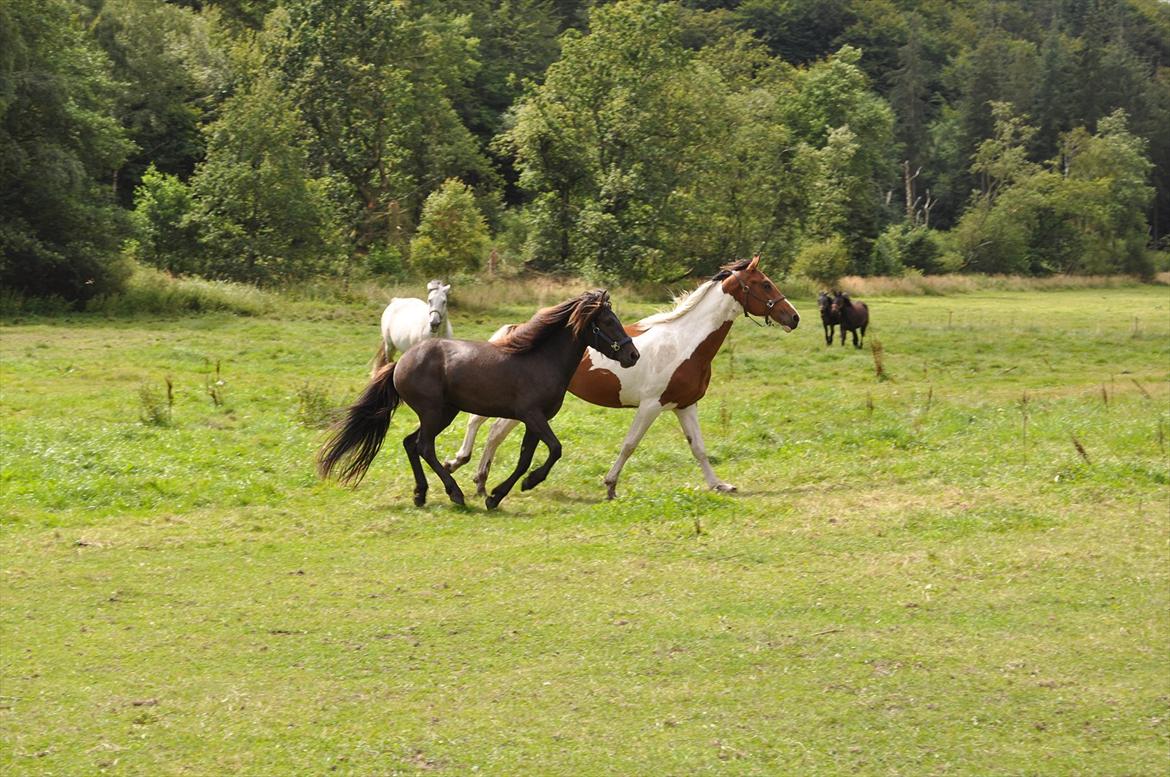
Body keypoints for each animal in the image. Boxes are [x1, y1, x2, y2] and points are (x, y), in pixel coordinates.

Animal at [318, 291, 641, 510]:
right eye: (608, 321)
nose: (633, 355)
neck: (541, 360)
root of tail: (400, 363)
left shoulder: (534, 421)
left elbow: (525, 458)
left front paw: (497, 495)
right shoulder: (532, 415)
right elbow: (555, 449)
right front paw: (525, 484)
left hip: (442, 413)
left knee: (411, 443)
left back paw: (420, 494)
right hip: (434, 413)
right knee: (423, 446)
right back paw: (455, 494)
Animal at [442, 255, 800, 498]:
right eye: (765, 283)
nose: (793, 318)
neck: (685, 342)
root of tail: (515, 330)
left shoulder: (685, 405)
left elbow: (698, 447)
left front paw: (719, 484)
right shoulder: (651, 405)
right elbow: (630, 444)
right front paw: (611, 486)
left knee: (494, 432)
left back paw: (480, 480)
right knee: (485, 426)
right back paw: (464, 467)